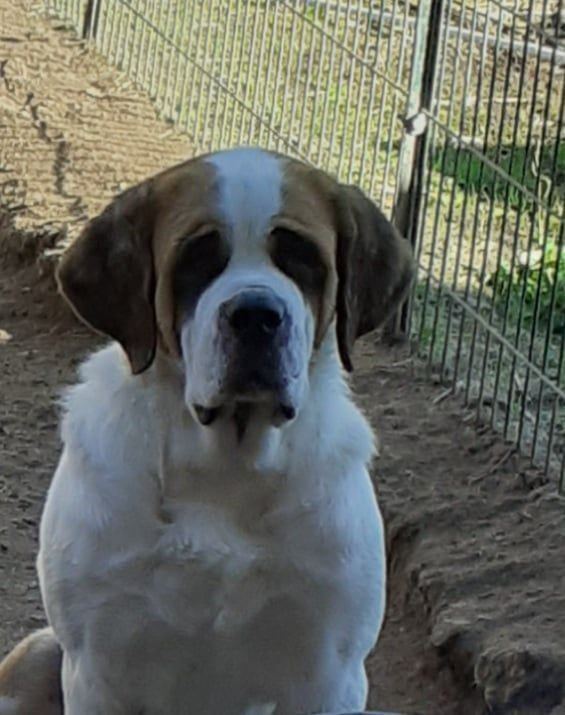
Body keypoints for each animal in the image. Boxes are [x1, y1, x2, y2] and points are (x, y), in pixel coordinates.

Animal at [0, 147, 413, 715]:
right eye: (197, 258)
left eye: (302, 257)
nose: (257, 314)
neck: (227, 470)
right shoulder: (99, 667)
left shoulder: (331, 674)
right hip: (37, 654)